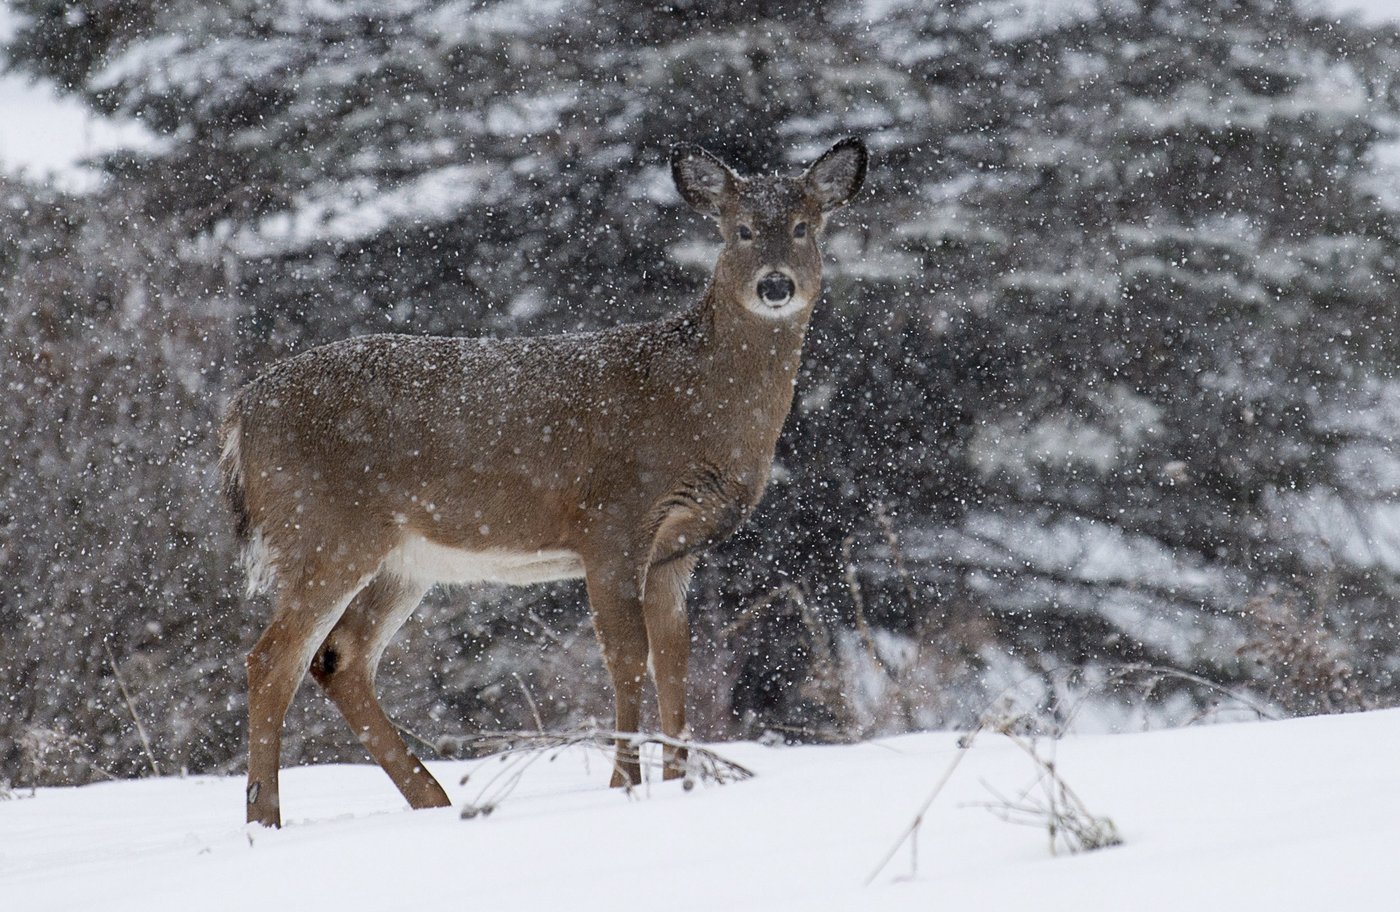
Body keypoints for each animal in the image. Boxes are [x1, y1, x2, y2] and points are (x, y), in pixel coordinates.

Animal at [221, 135, 862, 829]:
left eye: (803, 226)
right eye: (739, 229)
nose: (775, 284)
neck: (695, 401)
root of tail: (241, 410)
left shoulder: (675, 547)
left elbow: (675, 660)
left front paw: (680, 781)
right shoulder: (612, 521)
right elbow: (626, 656)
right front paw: (624, 784)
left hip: (402, 561)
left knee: (339, 660)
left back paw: (434, 801)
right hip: (323, 530)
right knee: (272, 659)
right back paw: (264, 820)